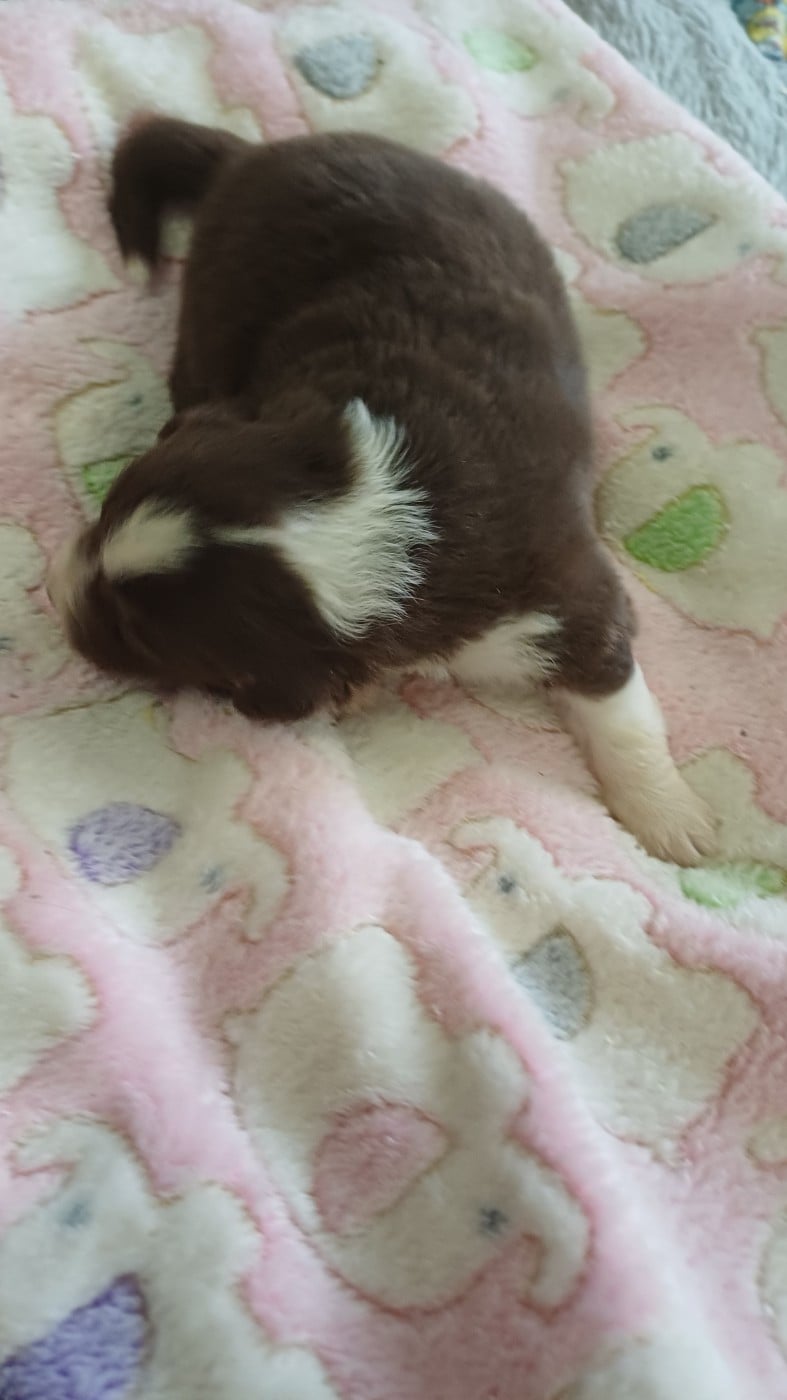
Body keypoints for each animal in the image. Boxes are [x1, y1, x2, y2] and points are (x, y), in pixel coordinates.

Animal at [48, 116, 716, 865]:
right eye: (105, 512)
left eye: (137, 633)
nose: (53, 590)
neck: (380, 516)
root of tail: (252, 154)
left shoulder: (564, 593)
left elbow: (614, 698)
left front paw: (670, 817)